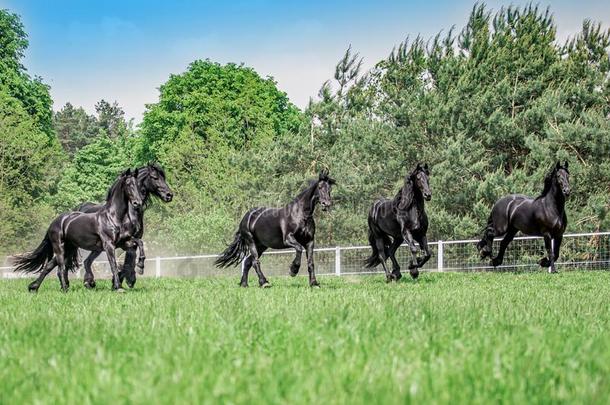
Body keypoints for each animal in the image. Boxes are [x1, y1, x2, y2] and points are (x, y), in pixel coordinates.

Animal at [14, 169, 143, 292]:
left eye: (137, 184)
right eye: (128, 184)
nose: (138, 203)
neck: (113, 217)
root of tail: (56, 221)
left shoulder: (123, 243)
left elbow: (139, 242)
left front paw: (140, 266)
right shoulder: (109, 245)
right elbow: (113, 265)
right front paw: (118, 287)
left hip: (69, 248)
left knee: (49, 266)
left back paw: (34, 287)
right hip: (59, 247)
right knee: (61, 268)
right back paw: (64, 288)